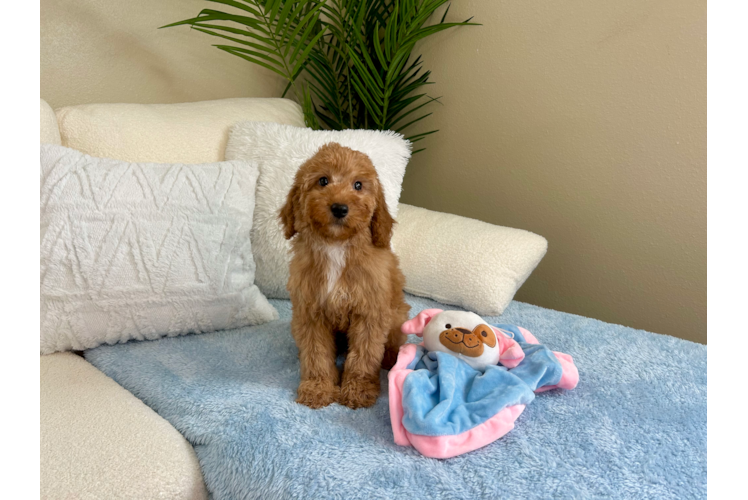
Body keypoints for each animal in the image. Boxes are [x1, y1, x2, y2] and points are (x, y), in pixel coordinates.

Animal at [280, 143, 410, 408]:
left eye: (358, 185)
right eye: (323, 180)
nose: (339, 208)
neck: (336, 246)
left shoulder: (369, 313)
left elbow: (363, 355)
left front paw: (358, 389)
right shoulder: (310, 313)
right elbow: (316, 354)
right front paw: (317, 388)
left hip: (396, 315)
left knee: (394, 342)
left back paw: (390, 358)